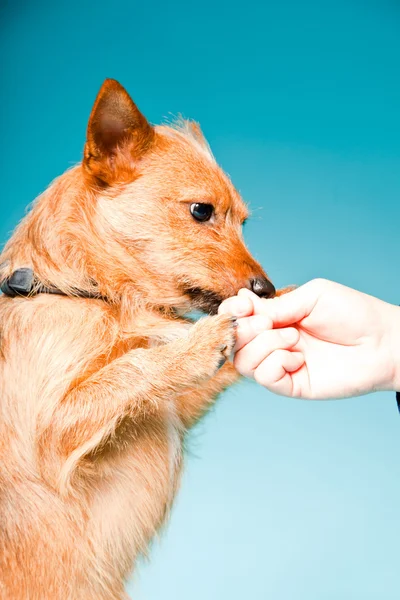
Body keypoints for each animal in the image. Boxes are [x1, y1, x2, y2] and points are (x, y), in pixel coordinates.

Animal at [0, 79, 276, 600]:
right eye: (201, 211)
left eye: (243, 223)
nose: (266, 290)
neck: (93, 292)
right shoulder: (50, 431)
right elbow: (134, 365)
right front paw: (193, 347)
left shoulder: (174, 409)